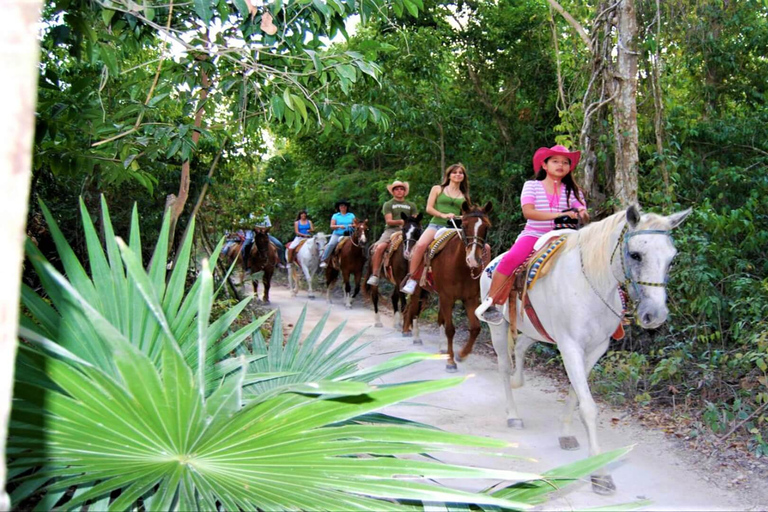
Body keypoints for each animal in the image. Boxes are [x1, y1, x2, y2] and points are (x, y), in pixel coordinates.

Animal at [404, 201, 496, 372]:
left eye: (486, 227)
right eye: (464, 226)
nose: (473, 259)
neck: (460, 266)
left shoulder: (469, 299)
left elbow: (475, 328)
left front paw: (461, 354)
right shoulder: (447, 297)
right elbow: (450, 329)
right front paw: (451, 361)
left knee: (439, 318)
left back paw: (442, 349)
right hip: (419, 289)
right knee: (414, 311)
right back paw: (416, 337)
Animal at [480, 205, 688, 496]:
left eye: (671, 259)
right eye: (635, 254)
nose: (655, 315)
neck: (592, 283)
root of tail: (491, 263)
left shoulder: (595, 349)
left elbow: (574, 393)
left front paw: (566, 434)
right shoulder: (570, 346)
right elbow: (588, 406)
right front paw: (600, 473)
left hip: (535, 331)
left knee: (520, 347)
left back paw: (518, 381)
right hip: (498, 328)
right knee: (503, 366)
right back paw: (513, 415)